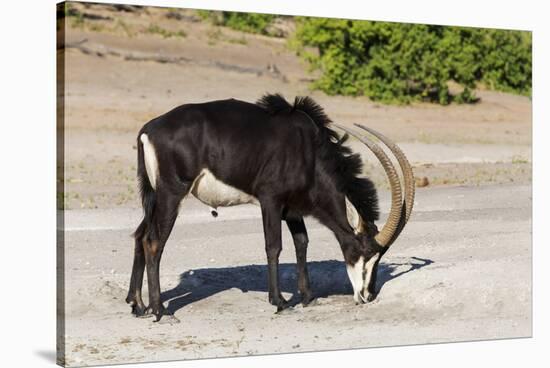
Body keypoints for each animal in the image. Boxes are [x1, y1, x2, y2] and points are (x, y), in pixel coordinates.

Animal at [126, 93, 414, 320]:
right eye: (364, 251)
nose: (367, 296)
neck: (308, 150)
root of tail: (148, 130)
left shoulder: (292, 209)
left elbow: (302, 242)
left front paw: (308, 296)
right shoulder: (271, 200)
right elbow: (274, 246)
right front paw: (280, 302)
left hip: (155, 196)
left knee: (140, 235)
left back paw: (138, 305)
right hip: (172, 194)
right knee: (153, 241)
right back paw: (160, 310)